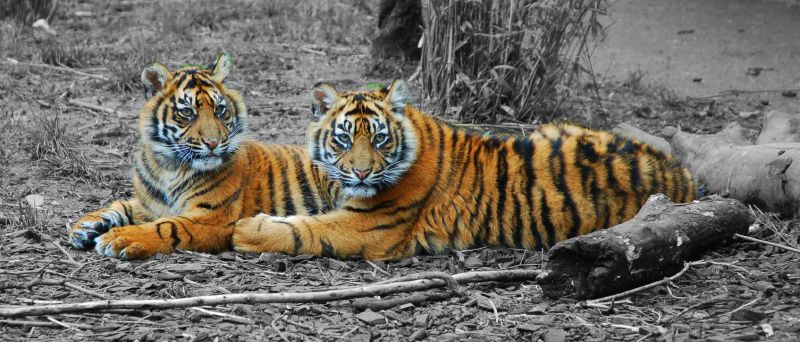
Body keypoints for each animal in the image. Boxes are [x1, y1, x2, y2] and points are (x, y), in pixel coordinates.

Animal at [69, 54, 340, 260]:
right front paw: (86, 225)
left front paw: (121, 237)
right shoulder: (152, 205)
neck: (169, 166)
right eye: (187, 113)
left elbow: (167, 226)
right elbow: (123, 204)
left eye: (220, 110)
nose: (213, 143)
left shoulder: (213, 217)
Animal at [231, 80, 692, 260]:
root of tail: (679, 174)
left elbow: (305, 231)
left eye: (379, 139)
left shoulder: (370, 227)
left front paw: (247, 229)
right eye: (344, 139)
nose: (361, 175)